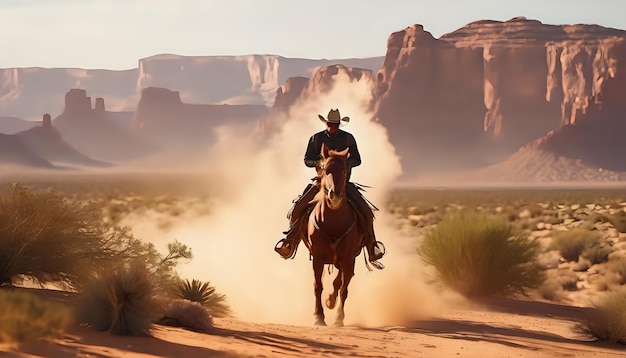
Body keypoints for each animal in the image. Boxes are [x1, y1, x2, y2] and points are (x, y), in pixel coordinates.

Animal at [304, 143, 366, 328]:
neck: (333, 223)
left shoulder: (348, 259)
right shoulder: (317, 258)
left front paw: (339, 318)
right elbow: (318, 286)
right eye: (325, 169)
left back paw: (331, 302)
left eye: (345, 170)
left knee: (339, 282)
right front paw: (318, 317)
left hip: (345, 260)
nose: (335, 195)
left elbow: (344, 288)